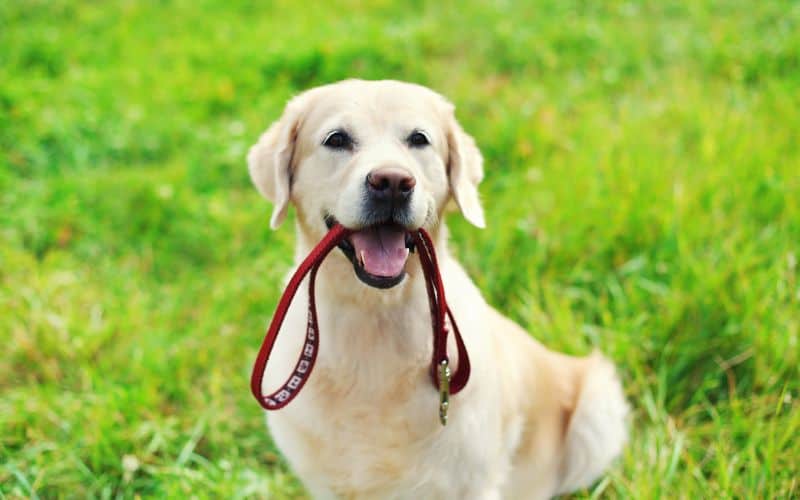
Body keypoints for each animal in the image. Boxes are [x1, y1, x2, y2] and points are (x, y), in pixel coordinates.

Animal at [247, 80, 628, 498]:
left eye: (418, 139)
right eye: (337, 139)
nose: (392, 182)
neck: (374, 317)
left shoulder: (473, 481)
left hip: (597, 407)